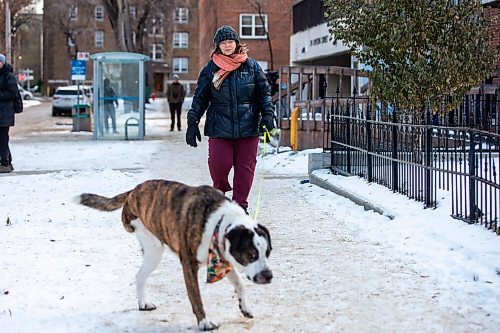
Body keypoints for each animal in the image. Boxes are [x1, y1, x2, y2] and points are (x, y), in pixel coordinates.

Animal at [79, 179, 272, 330]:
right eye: (252, 254)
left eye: (267, 253)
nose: (268, 276)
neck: (219, 223)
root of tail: (133, 191)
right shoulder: (189, 265)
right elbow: (196, 298)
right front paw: (204, 322)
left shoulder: (223, 260)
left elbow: (240, 284)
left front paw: (245, 307)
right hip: (152, 246)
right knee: (141, 272)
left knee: (140, 276)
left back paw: (143, 304)